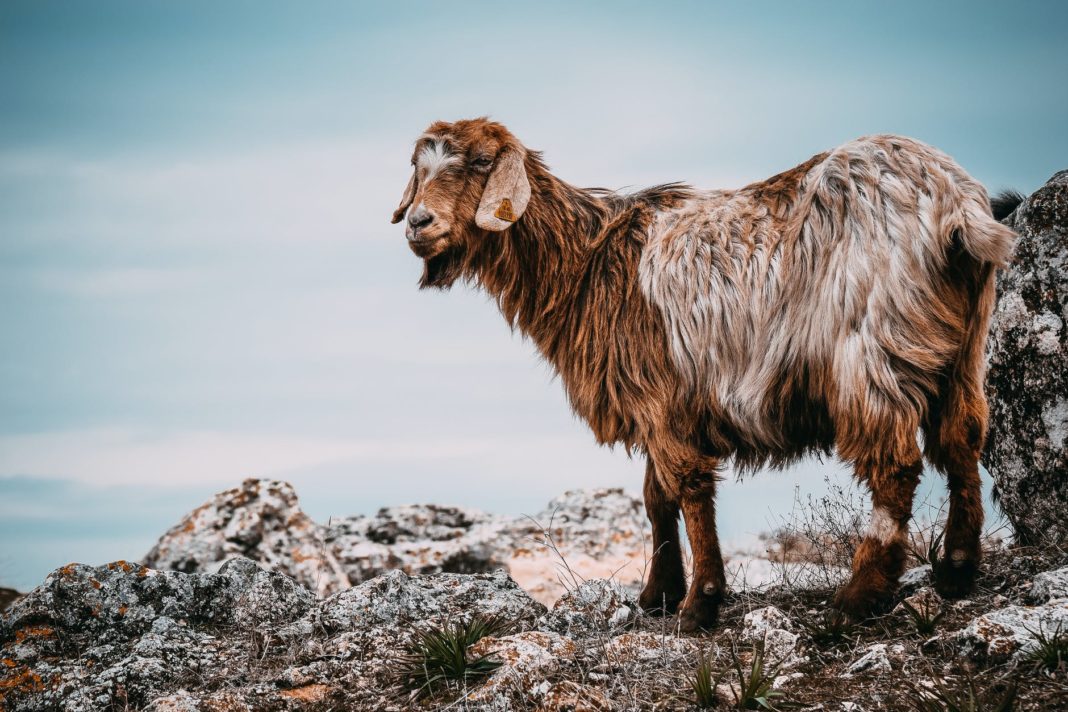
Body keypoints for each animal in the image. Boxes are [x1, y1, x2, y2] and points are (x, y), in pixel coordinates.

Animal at [391, 118, 1016, 631]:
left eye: (479, 161)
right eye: (419, 168)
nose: (418, 223)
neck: (588, 261)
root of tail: (955, 205)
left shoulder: (663, 397)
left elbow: (689, 489)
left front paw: (701, 604)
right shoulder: (652, 404)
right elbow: (655, 497)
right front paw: (658, 595)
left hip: (870, 354)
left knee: (895, 466)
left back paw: (860, 596)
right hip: (961, 351)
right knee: (962, 440)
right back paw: (957, 570)